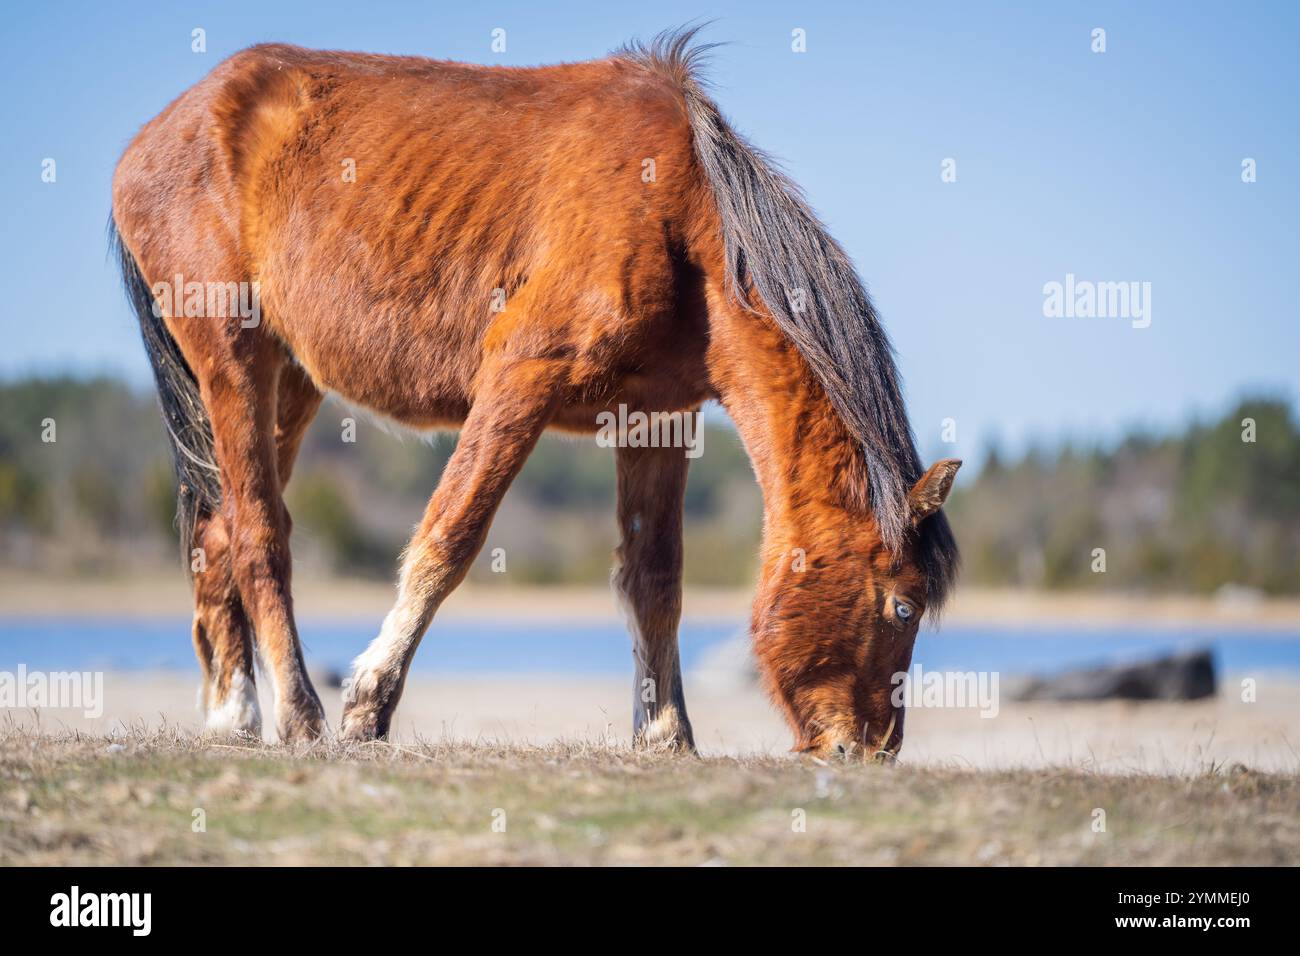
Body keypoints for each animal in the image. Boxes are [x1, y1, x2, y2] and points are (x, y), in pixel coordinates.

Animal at [109, 27, 959, 759]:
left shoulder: (657, 420)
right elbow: (448, 540)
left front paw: (665, 734)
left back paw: (233, 715)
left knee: (219, 529)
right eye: (903, 606)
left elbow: (654, 578)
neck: (681, 217)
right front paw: (368, 705)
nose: (872, 749)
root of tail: (156, 136)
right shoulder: (522, 376)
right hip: (234, 361)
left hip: (287, 382)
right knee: (259, 534)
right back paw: (300, 715)